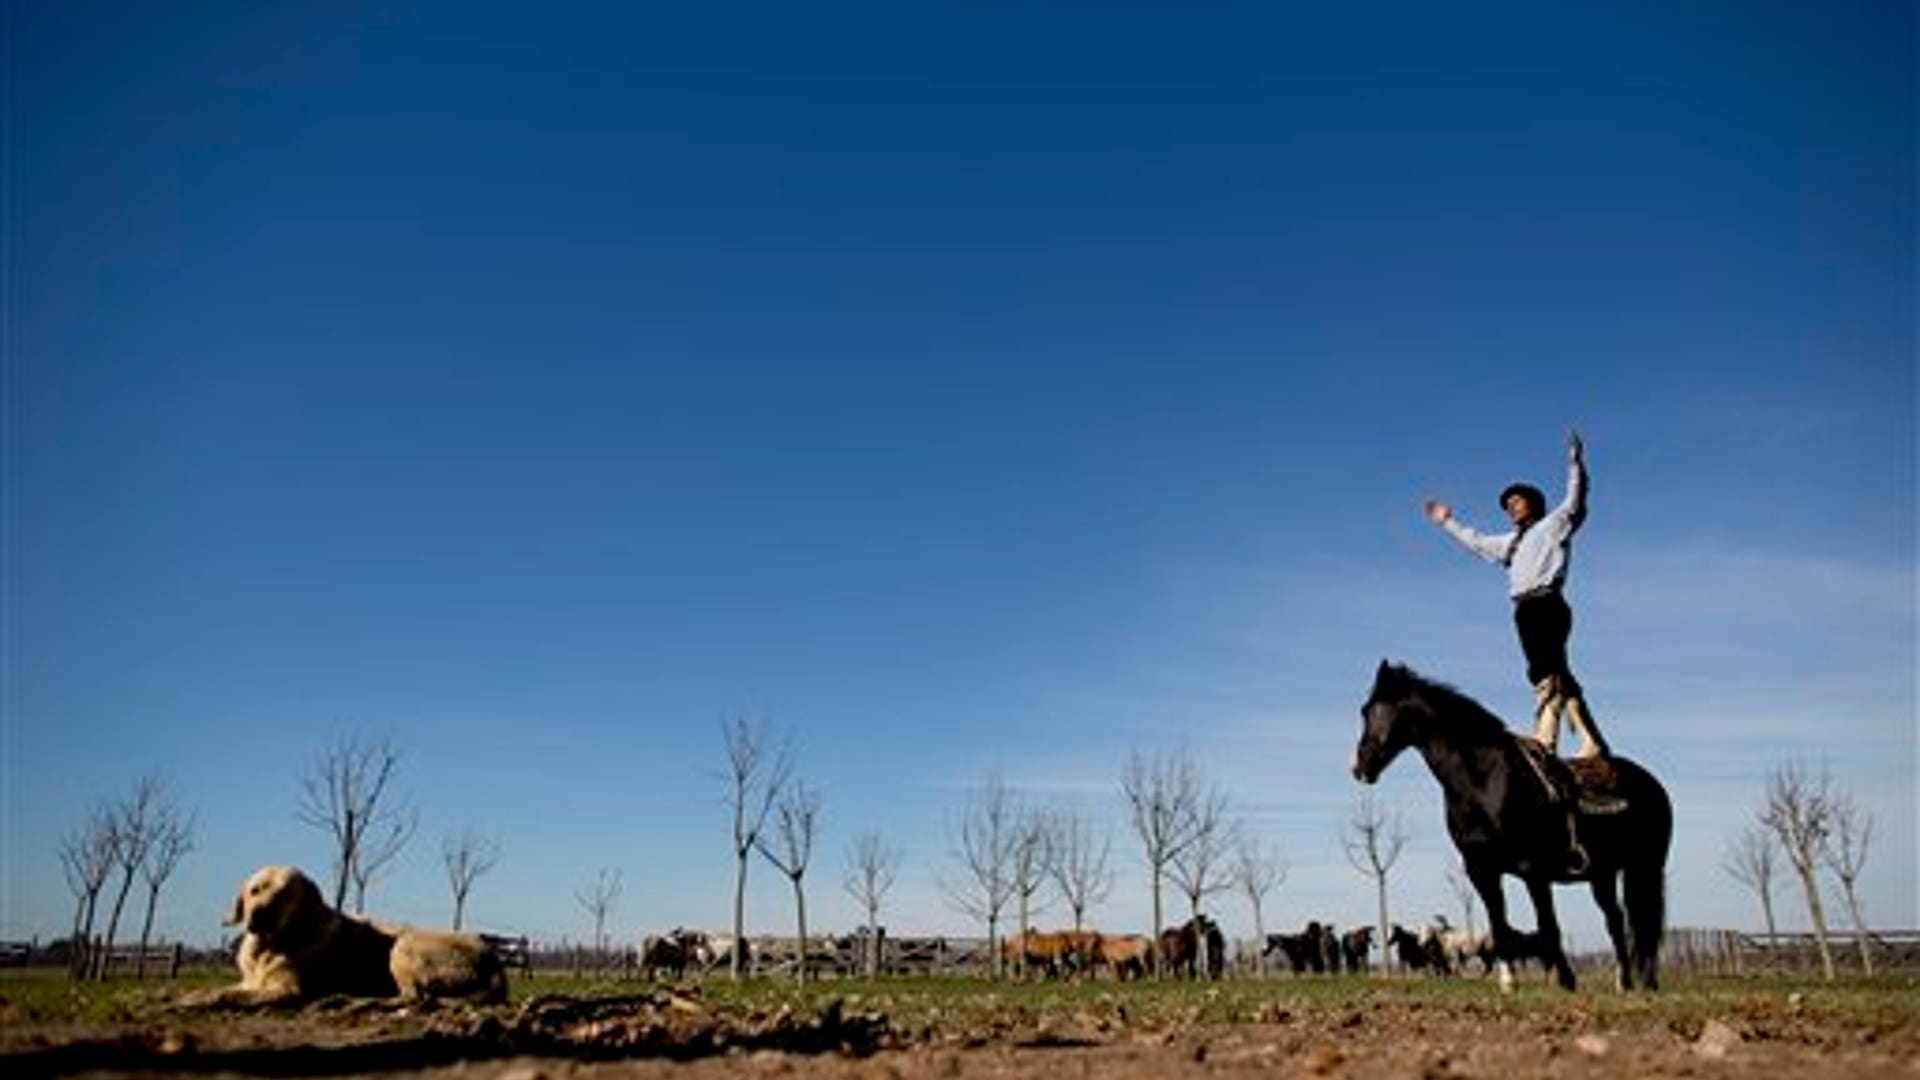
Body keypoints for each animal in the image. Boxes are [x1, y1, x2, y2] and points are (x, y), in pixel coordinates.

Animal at [1352, 661, 1672, 991]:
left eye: (1368, 710)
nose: (1360, 767)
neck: (1483, 781)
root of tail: (1651, 782)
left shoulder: (1533, 870)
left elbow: (1548, 927)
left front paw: (1566, 980)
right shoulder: (1481, 871)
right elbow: (1500, 926)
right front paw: (1509, 982)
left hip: (1646, 865)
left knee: (1642, 918)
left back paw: (1643, 980)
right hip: (1603, 875)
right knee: (1615, 920)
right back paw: (1625, 982)